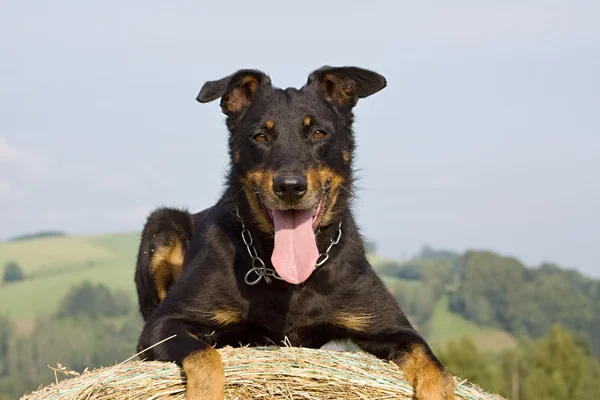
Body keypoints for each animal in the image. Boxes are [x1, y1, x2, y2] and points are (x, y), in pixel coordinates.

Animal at [135, 66, 454, 400]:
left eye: (318, 133)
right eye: (260, 136)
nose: (289, 186)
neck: (289, 279)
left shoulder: (395, 329)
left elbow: (438, 372)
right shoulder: (163, 325)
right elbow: (206, 357)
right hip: (161, 225)